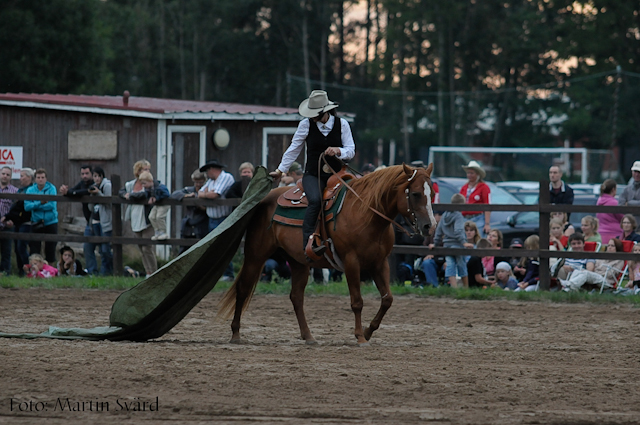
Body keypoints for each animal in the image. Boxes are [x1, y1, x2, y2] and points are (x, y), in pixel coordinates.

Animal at [218, 162, 438, 344]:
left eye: (432, 194)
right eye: (416, 193)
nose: (430, 226)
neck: (366, 212)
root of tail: (266, 198)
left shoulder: (379, 263)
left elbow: (387, 299)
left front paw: (368, 331)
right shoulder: (351, 262)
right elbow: (357, 302)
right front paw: (360, 336)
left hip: (298, 262)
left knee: (296, 297)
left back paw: (308, 336)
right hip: (256, 255)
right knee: (243, 289)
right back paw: (235, 334)